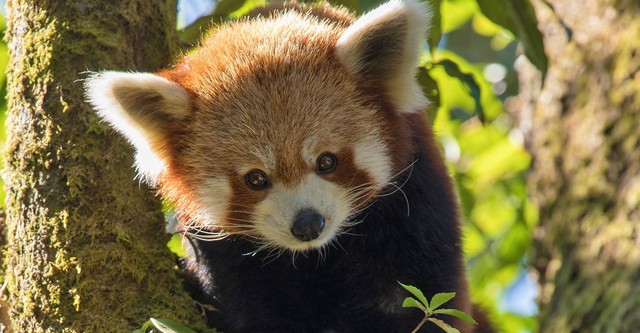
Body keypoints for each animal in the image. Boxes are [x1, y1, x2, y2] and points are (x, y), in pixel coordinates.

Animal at [82, 1, 488, 330]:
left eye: (327, 161)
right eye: (256, 179)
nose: (307, 224)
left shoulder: (416, 205)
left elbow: (417, 299)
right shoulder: (223, 256)